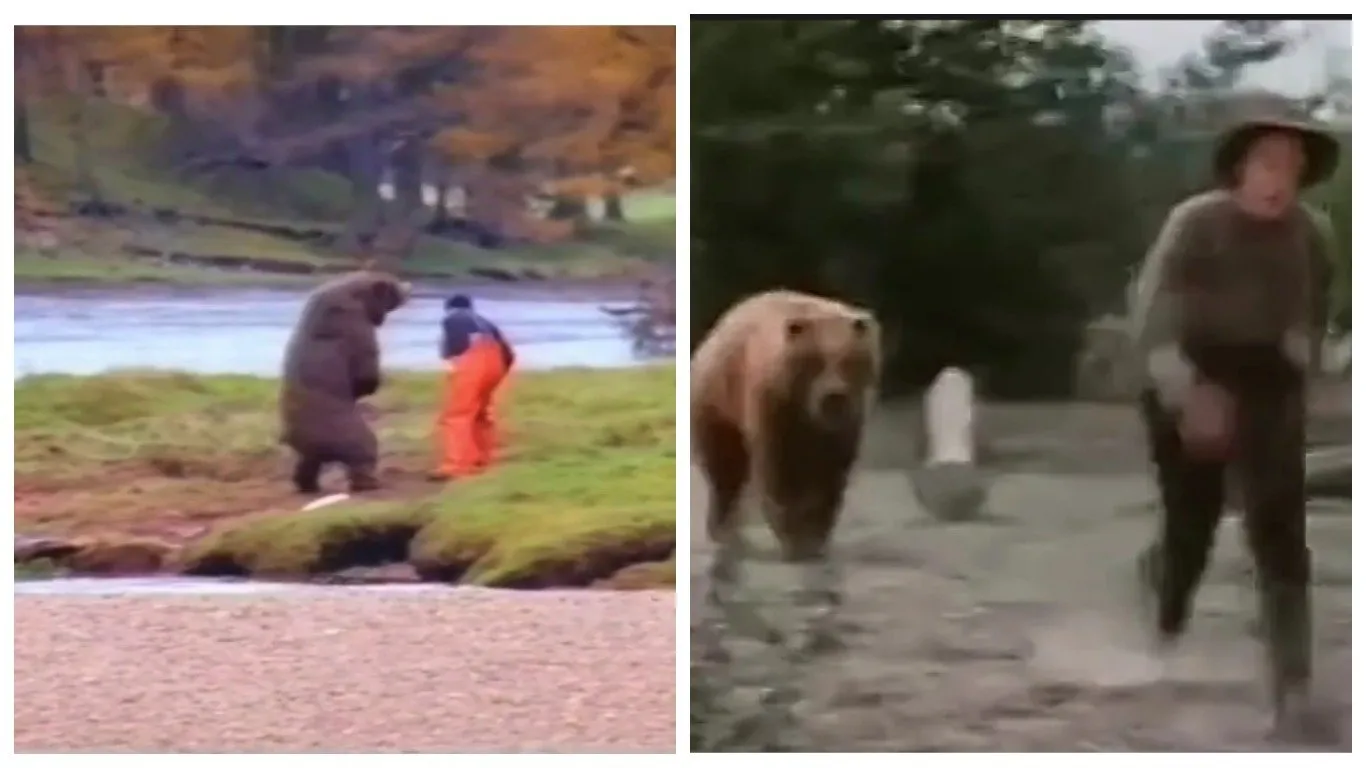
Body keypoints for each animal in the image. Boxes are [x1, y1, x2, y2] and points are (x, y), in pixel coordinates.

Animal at [275, 269, 404, 491]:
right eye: (391, 284)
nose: (408, 287)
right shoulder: (357, 327)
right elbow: (365, 372)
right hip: (343, 430)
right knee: (364, 448)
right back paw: (369, 482)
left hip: (306, 442)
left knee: (306, 461)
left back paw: (307, 485)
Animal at [693, 289, 885, 560]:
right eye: (815, 361)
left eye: (848, 360)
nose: (833, 397)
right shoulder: (773, 403)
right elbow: (779, 471)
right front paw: (796, 539)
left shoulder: (848, 419)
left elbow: (831, 472)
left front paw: (814, 536)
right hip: (718, 400)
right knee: (725, 467)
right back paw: (725, 531)